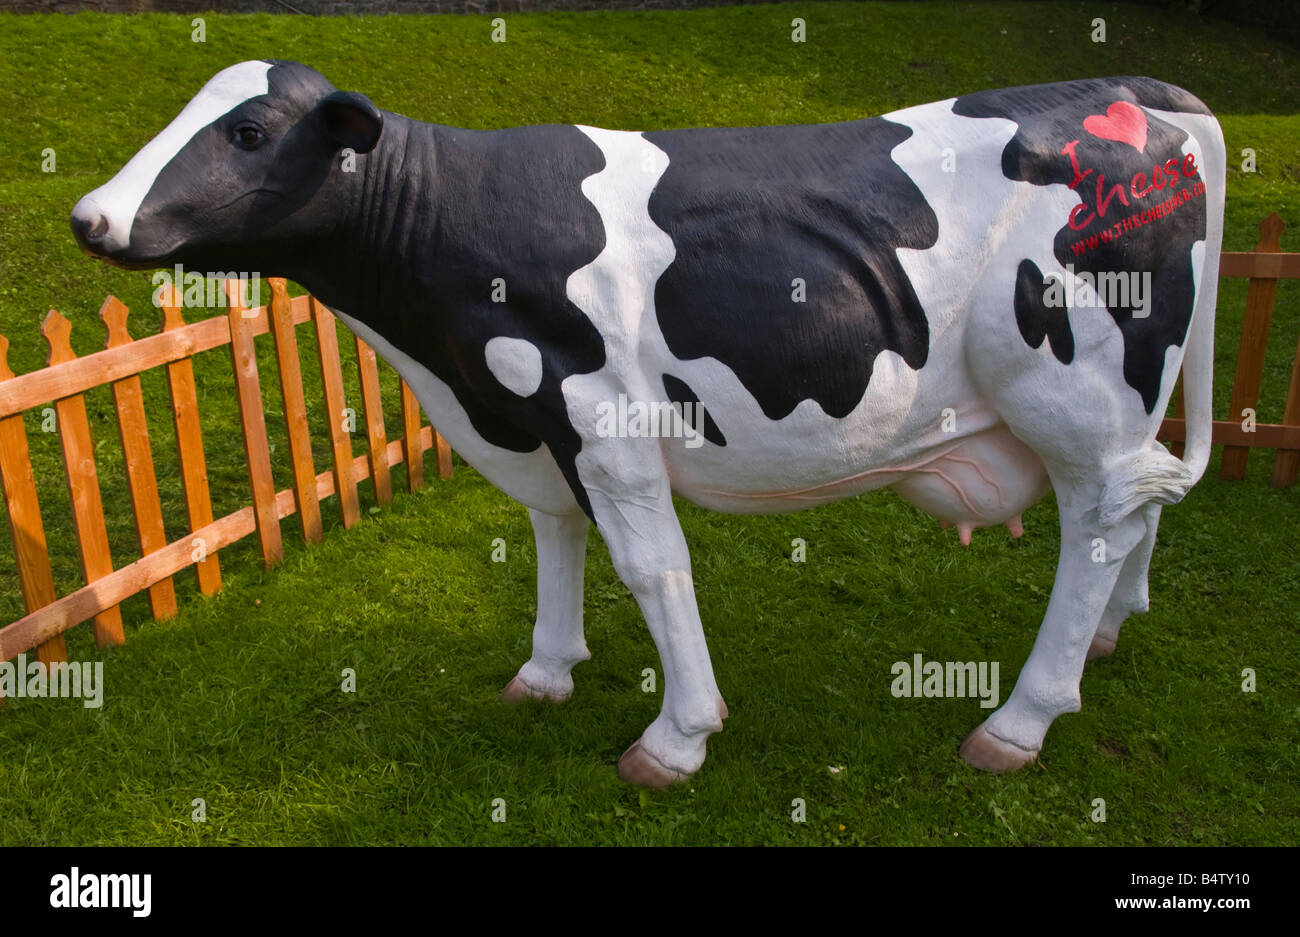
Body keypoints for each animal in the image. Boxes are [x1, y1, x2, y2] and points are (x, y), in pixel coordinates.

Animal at [76, 62, 1222, 784]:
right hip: (1122, 406)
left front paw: (678, 736)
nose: (92, 216)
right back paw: (1109, 634)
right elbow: (553, 535)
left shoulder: (600, 414)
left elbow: (651, 564)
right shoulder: (530, 420)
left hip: (1074, 389)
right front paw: (546, 670)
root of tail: (1140, 93)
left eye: (249, 132)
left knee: (1100, 518)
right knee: (1144, 498)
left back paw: (1021, 717)